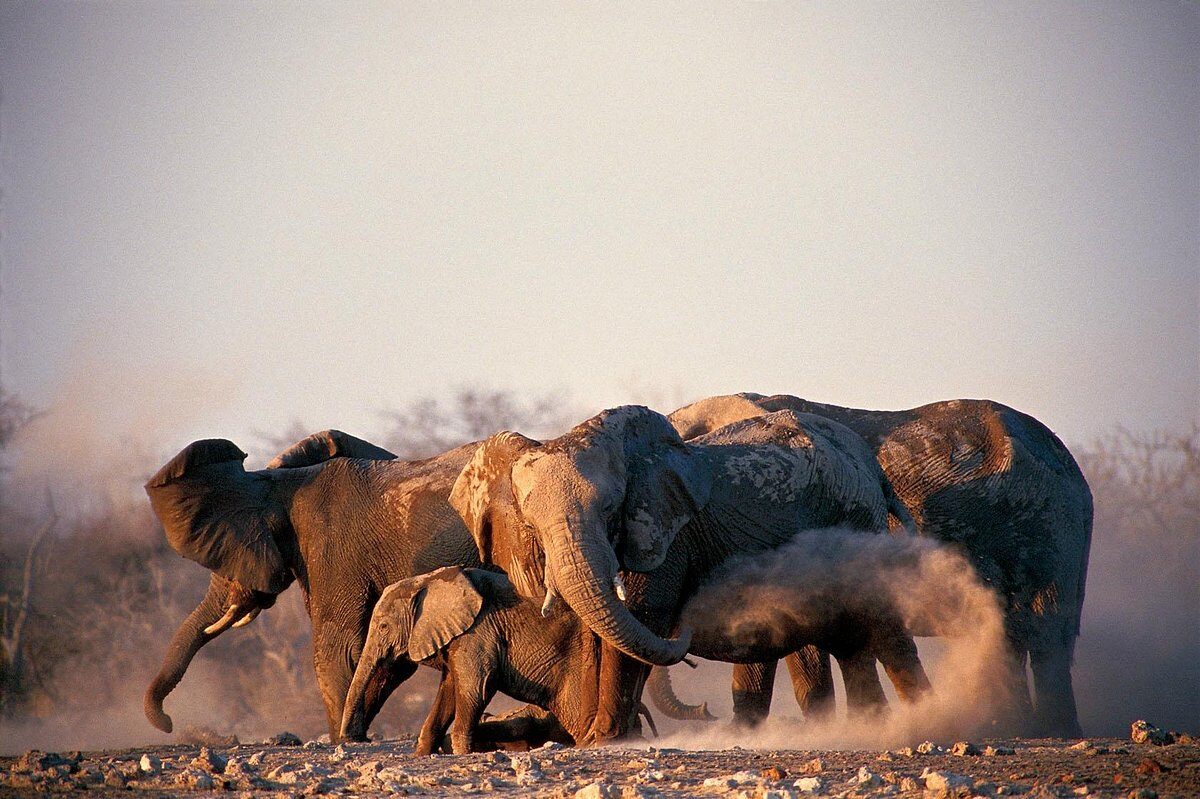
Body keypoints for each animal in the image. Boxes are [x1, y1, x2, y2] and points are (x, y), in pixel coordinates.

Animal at [140, 429, 477, 739]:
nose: (168, 723)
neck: (278, 483)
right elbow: (387, 658)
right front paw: (353, 734)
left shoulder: (334, 548)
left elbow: (336, 651)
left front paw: (343, 739)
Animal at [338, 563, 600, 748]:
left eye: (383, 627)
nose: (357, 739)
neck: (428, 580)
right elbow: (449, 691)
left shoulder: (479, 631)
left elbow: (476, 687)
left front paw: (461, 750)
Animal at [448, 407, 907, 743]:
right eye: (531, 526)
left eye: (612, 511)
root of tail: (868, 461)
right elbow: (599, 631)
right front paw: (602, 737)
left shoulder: (667, 539)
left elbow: (642, 617)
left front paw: (606, 740)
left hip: (856, 517)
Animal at [662, 391, 1094, 734]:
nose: (706, 711)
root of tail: (1075, 472)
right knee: (1015, 635)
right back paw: (1014, 726)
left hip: (1045, 525)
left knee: (1043, 634)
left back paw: (1048, 732)